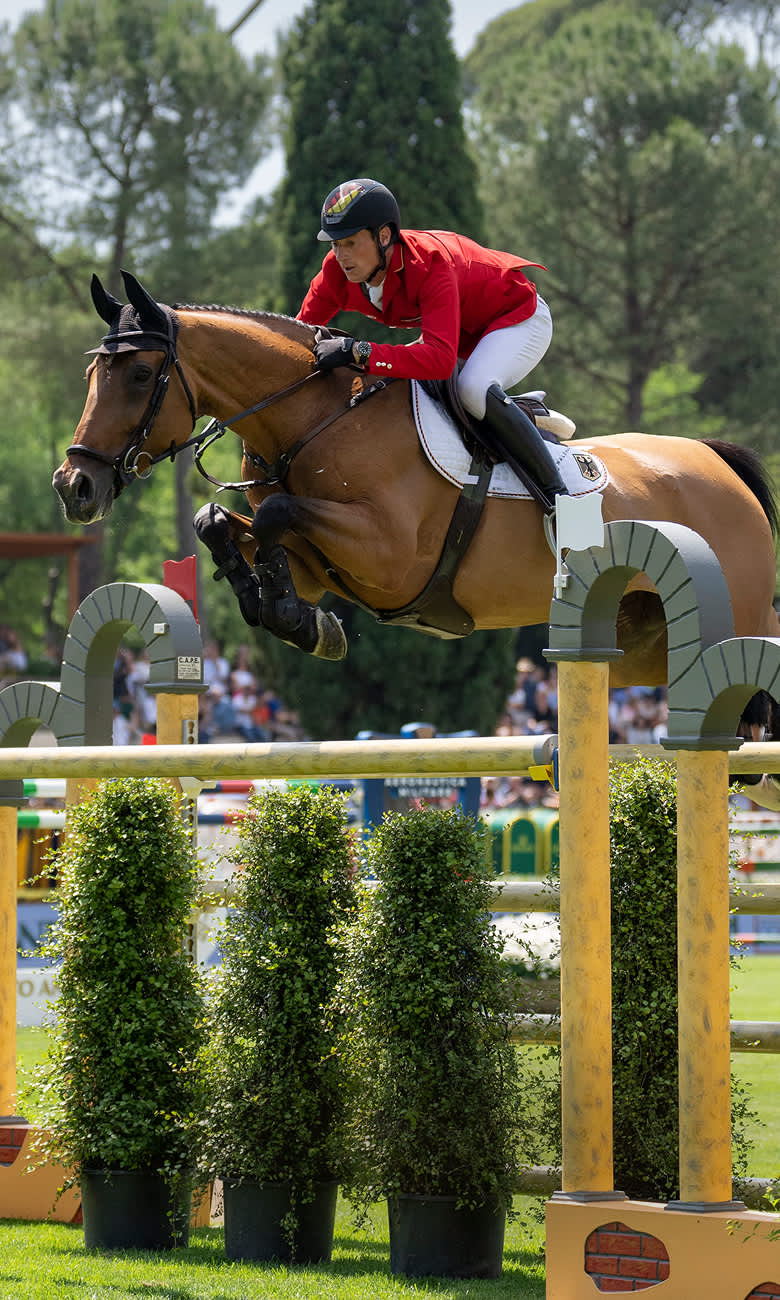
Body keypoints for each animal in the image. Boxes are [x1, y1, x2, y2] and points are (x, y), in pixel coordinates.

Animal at [54, 272, 780, 698]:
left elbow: (279, 511)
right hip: (643, 646)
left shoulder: (392, 553)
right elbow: (224, 525)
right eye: (91, 374)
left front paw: (293, 617)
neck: (313, 419)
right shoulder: (319, 562)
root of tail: (718, 462)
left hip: (731, 616)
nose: (73, 486)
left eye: (140, 376)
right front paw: (294, 616)